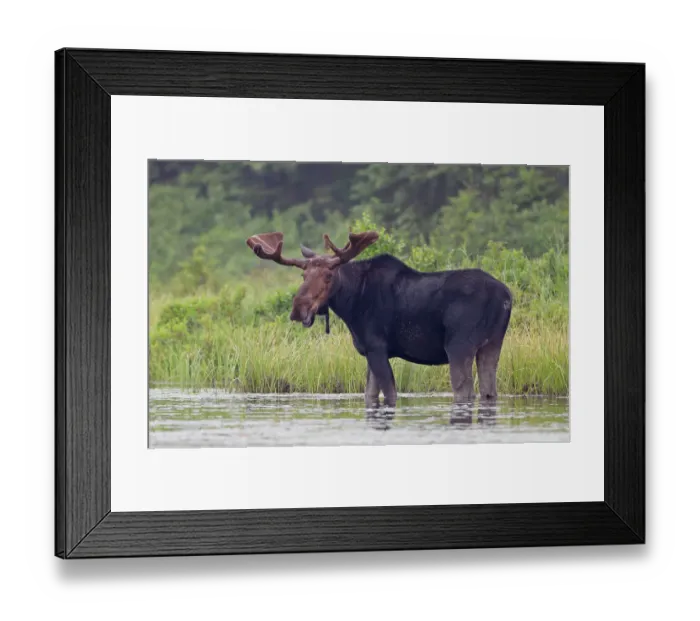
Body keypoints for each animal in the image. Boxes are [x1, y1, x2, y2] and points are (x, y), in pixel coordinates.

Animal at [246, 231, 512, 409]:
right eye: (303, 275)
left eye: (329, 275)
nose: (299, 309)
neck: (351, 304)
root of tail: (507, 297)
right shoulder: (368, 351)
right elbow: (369, 395)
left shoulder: (377, 348)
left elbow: (390, 395)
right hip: (492, 344)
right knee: (489, 391)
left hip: (459, 345)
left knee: (464, 391)